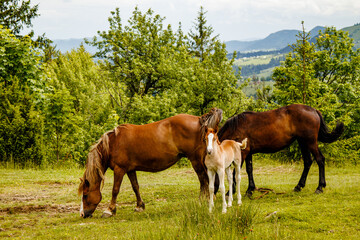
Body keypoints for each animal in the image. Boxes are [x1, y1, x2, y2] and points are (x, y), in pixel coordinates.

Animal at [78, 108, 222, 218]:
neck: (113, 143)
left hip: (196, 160)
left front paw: (109, 210)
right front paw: (139, 206)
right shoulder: (130, 170)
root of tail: (199, 120)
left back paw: (203, 201)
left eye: (85, 195)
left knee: (203, 180)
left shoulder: (120, 170)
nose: (83, 214)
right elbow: (135, 187)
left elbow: (115, 190)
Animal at [215, 104, 344, 195]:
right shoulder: (248, 153)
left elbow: (236, 172)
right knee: (308, 161)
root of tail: (314, 110)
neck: (236, 127)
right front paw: (250, 189)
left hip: (310, 142)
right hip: (303, 142)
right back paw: (299, 186)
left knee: (320, 159)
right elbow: (249, 170)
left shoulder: (242, 153)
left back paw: (320, 187)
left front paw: (230, 192)